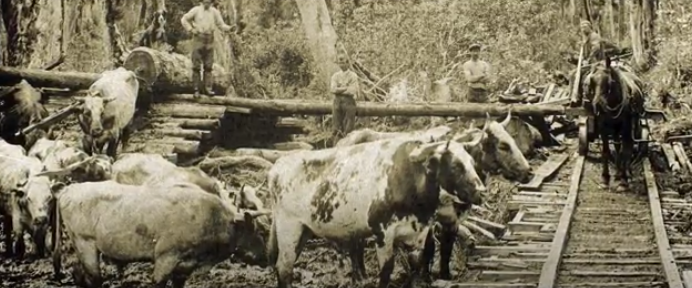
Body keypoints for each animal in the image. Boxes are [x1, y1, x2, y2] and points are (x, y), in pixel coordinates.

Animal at [588, 56, 648, 192]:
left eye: (609, 82)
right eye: (592, 81)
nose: (597, 106)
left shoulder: (626, 129)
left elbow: (625, 152)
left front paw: (623, 181)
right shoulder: (603, 128)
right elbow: (606, 151)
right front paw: (605, 179)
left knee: (626, 148)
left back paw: (625, 173)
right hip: (615, 130)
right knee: (617, 145)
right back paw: (617, 172)